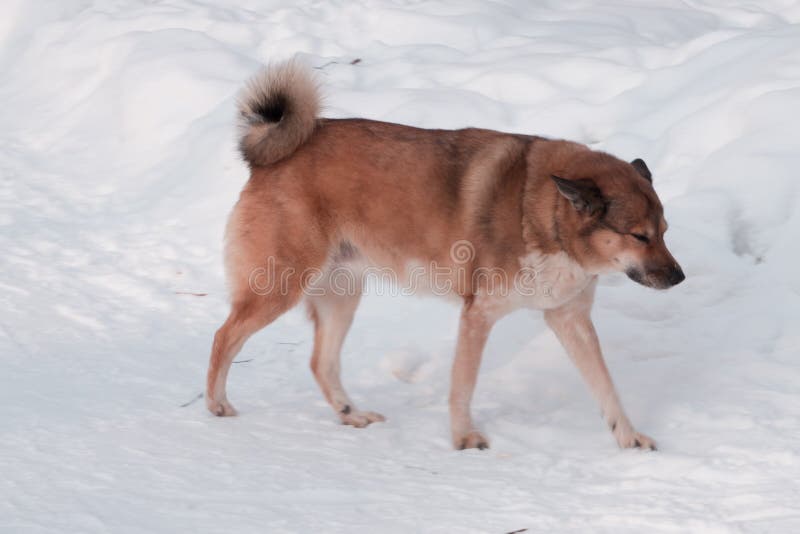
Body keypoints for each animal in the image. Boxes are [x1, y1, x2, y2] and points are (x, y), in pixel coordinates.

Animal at [205, 60, 680, 452]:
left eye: (664, 232)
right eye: (639, 236)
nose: (678, 278)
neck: (543, 214)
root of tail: (273, 158)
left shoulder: (570, 318)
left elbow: (606, 387)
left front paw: (629, 436)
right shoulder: (478, 315)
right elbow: (463, 385)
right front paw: (463, 437)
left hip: (342, 294)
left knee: (321, 363)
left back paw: (351, 414)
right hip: (280, 287)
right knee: (224, 337)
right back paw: (216, 404)